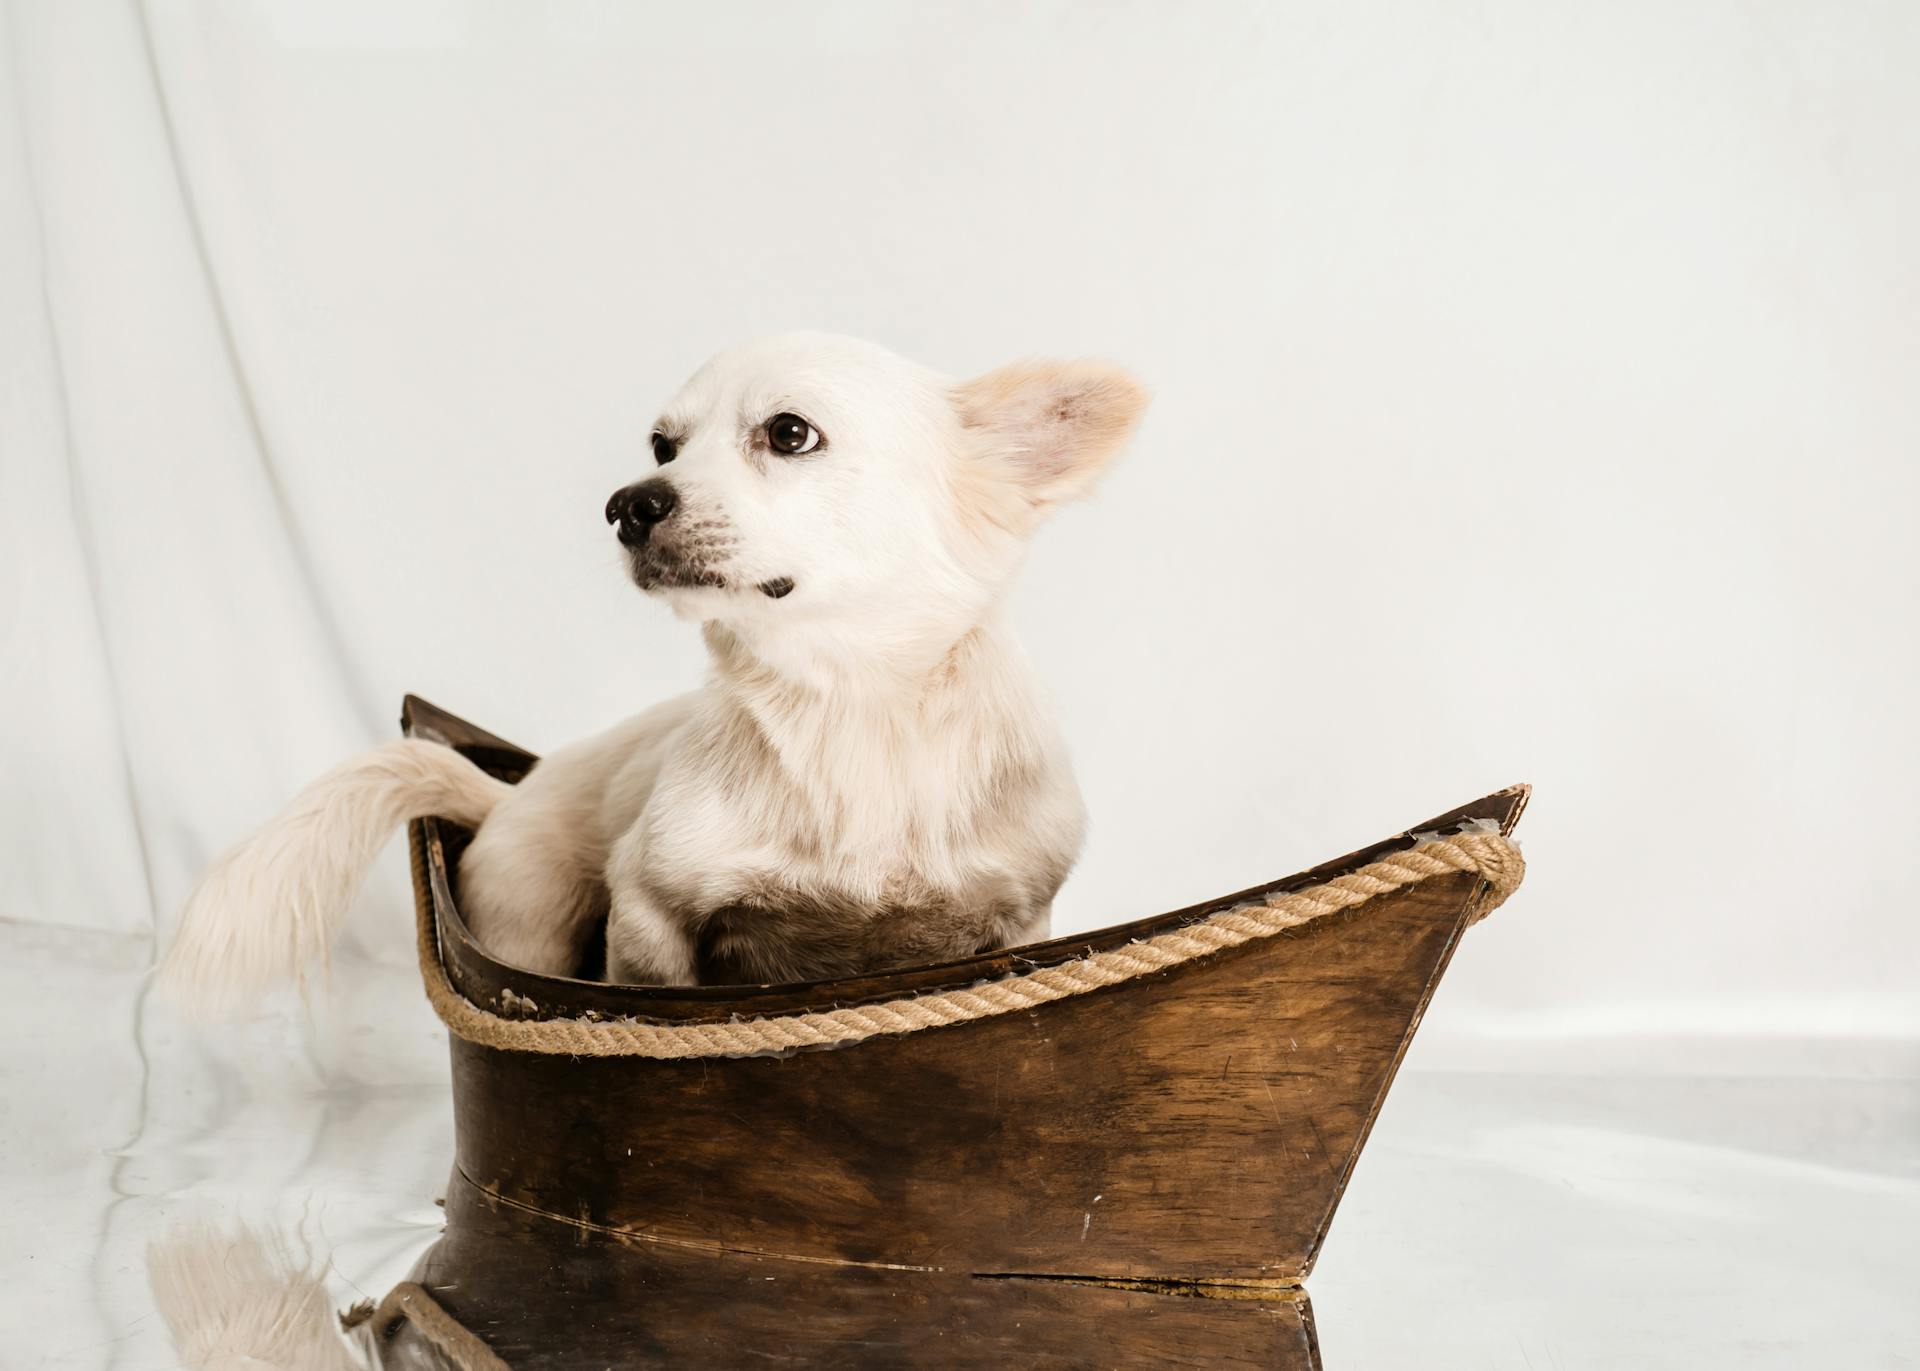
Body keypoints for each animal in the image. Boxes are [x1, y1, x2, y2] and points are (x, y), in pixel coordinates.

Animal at [161, 336, 1136, 1006]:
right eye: (664, 445)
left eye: (789, 432)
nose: (627, 504)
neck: (849, 707)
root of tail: (505, 795)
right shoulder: (648, 910)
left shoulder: (1015, 920)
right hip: (529, 926)